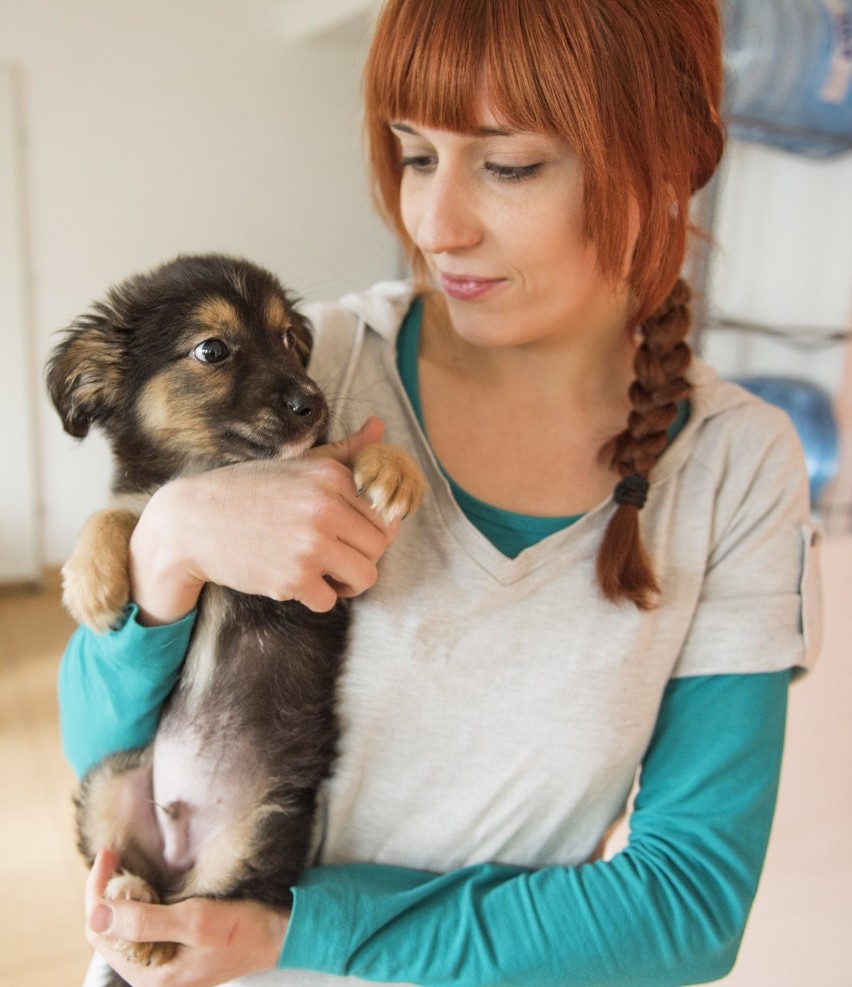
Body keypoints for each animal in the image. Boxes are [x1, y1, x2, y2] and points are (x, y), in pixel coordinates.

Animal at [45, 253, 424, 980]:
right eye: (212, 350)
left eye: (288, 338)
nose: (313, 403)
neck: (219, 466)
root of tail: (180, 843)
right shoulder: (156, 506)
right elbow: (119, 513)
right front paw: (94, 584)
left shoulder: (332, 578)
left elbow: (339, 456)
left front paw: (392, 465)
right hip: (110, 779)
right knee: (132, 871)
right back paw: (130, 902)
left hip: (261, 830)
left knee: (203, 896)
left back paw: (145, 923)